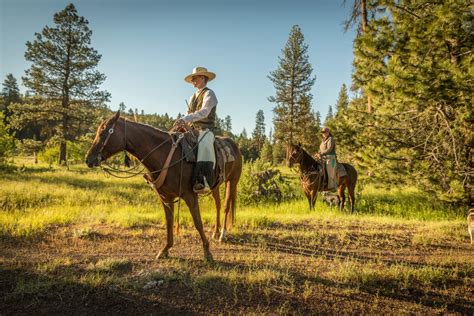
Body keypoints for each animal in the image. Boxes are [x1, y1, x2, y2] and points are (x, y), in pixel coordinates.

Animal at [85, 111, 243, 262]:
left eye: (103, 132)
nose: (88, 159)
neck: (166, 155)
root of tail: (233, 144)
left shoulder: (189, 195)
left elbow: (198, 222)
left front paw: (207, 252)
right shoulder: (166, 197)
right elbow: (169, 222)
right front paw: (165, 249)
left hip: (232, 181)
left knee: (226, 206)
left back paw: (222, 234)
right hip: (215, 185)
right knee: (218, 204)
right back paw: (216, 232)